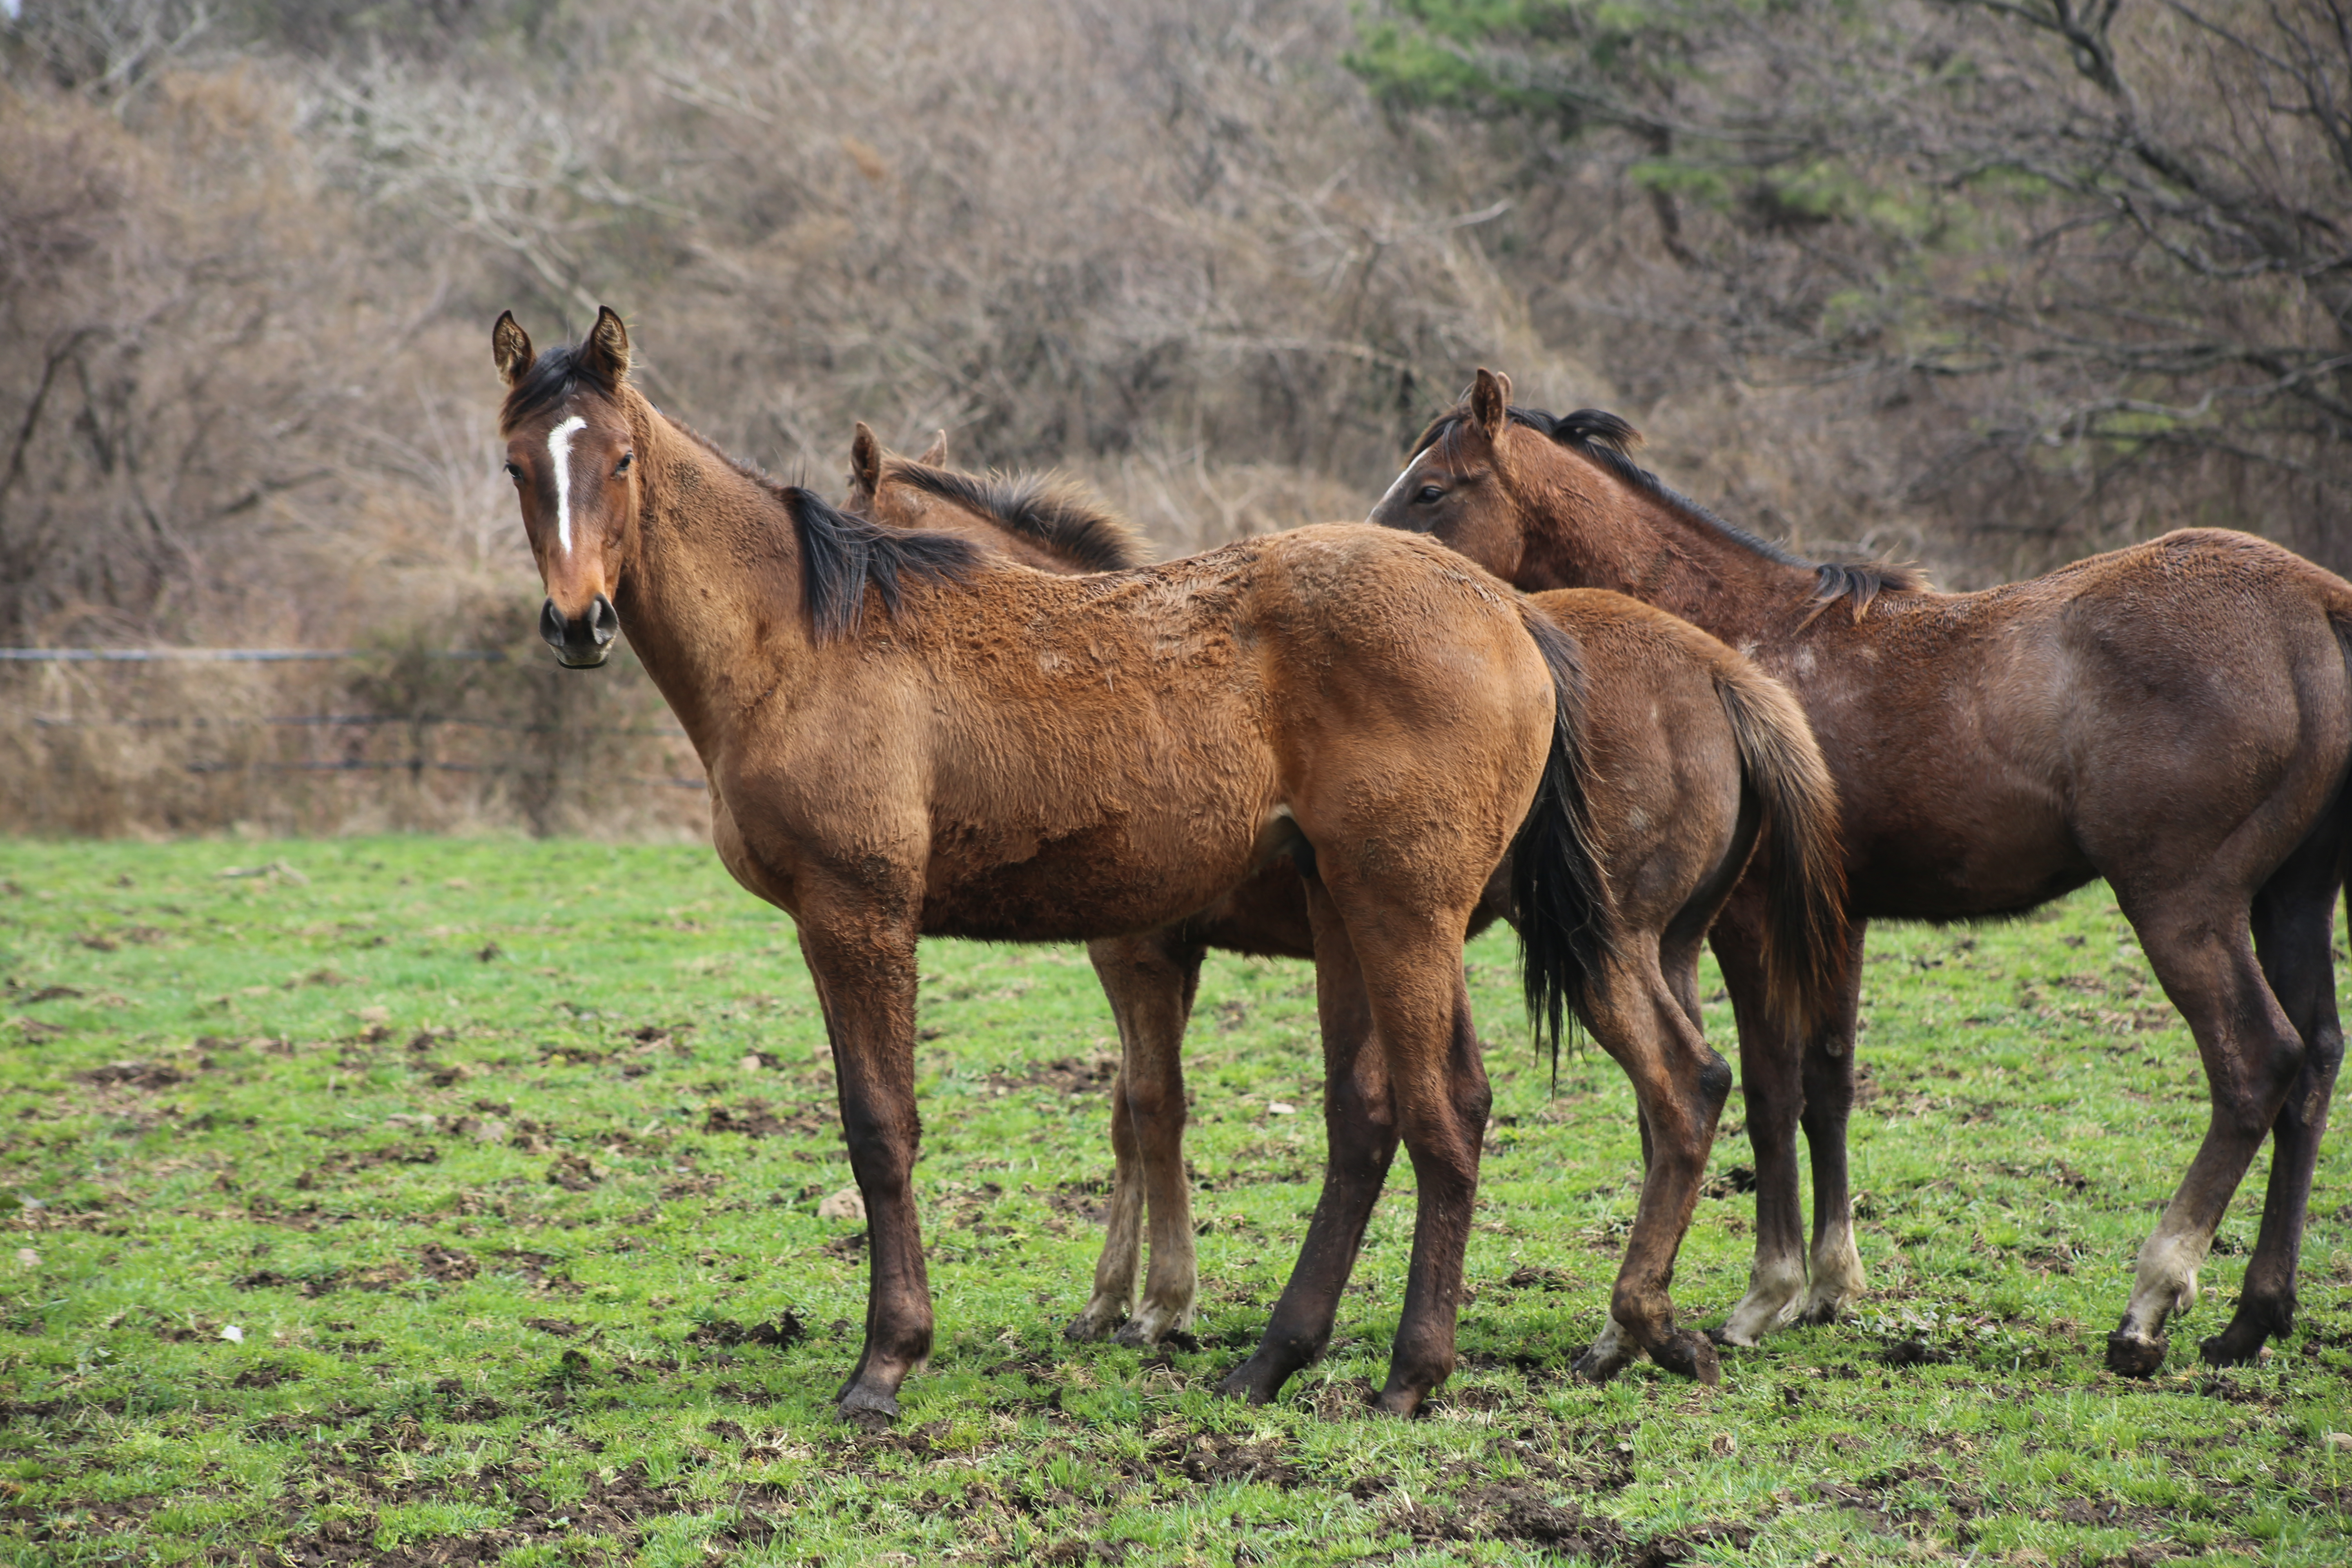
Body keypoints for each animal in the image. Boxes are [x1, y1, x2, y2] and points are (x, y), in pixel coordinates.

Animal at [489, 310, 1618, 1420]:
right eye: (514, 466)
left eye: (621, 459)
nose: (579, 622)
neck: (803, 640)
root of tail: (1509, 612)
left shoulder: (860, 912)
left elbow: (882, 1128)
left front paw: (886, 1363)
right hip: (1347, 911)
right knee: (1366, 1118)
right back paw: (1270, 1361)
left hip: (1405, 911)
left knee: (1445, 1113)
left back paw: (1412, 1371)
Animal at [837, 425, 1844, 1382]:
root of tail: (1721, 672)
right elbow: (1128, 1110)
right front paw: (1112, 1297)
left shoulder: (1138, 951)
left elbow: (1154, 1106)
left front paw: (1158, 1303)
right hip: (1667, 945)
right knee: (1688, 1099)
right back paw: (1648, 1325)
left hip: (1601, 943)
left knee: (1685, 1087)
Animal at [1373, 369, 2352, 1373]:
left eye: (1432, 489)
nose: (1382, 569)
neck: (1740, 643)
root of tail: (2317, 599)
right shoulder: (1838, 923)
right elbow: (1830, 1087)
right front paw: (1830, 1285)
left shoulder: (1754, 924)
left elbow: (1767, 1090)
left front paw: (1763, 1295)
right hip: (2292, 900)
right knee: (2316, 1060)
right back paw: (2254, 1315)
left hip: (2183, 906)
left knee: (2258, 1063)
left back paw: (2151, 1300)